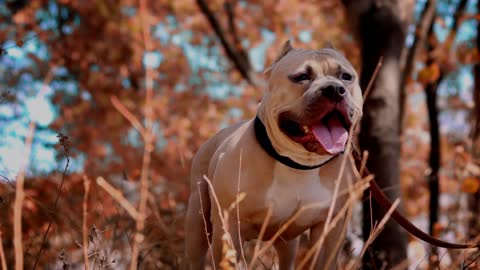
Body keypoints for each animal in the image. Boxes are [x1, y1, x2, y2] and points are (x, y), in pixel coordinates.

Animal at [185, 40, 364, 270]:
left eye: (346, 77)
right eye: (302, 77)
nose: (334, 89)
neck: (298, 164)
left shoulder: (329, 230)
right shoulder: (229, 227)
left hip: (287, 244)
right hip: (197, 220)